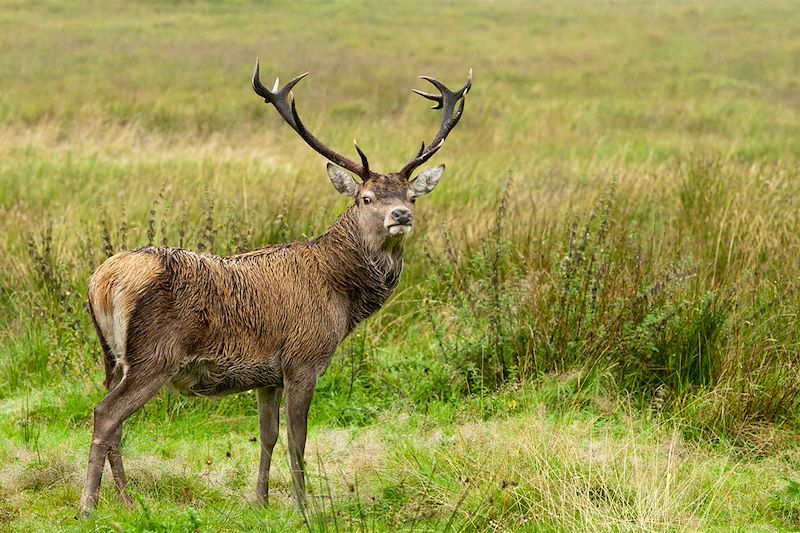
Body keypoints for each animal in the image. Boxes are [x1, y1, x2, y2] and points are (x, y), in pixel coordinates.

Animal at [77, 59, 468, 516]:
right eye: (367, 198)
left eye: (411, 195)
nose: (402, 215)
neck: (342, 296)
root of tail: (102, 281)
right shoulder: (303, 360)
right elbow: (298, 440)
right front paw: (305, 506)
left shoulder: (267, 376)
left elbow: (268, 436)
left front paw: (260, 500)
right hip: (154, 355)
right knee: (106, 415)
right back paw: (89, 505)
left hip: (113, 358)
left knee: (115, 423)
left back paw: (128, 501)